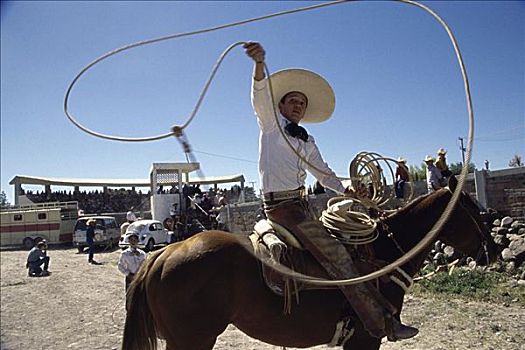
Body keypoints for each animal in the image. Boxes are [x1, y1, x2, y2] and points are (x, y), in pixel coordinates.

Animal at [122, 178, 496, 350]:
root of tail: (162, 255)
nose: (491, 251)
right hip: (192, 339)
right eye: (472, 209)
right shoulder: (365, 339)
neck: (385, 253)